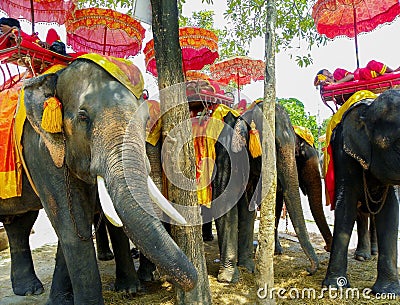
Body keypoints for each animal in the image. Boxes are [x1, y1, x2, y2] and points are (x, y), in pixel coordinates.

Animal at [0, 55, 197, 302]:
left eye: (145, 120)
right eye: (83, 117)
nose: (194, 275)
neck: (57, 75)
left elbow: (86, 222)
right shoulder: (39, 148)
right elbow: (70, 224)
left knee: (19, 223)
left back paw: (29, 289)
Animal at [209, 101, 318, 282]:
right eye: (272, 146)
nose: (309, 270)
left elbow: (247, 209)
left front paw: (248, 267)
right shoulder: (224, 155)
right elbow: (225, 204)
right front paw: (229, 278)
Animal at [322, 88, 400, 294]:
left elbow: (390, 209)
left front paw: (387, 291)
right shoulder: (344, 152)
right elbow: (346, 205)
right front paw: (335, 286)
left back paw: (372, 253)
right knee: (361, 212)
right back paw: (363, 256)